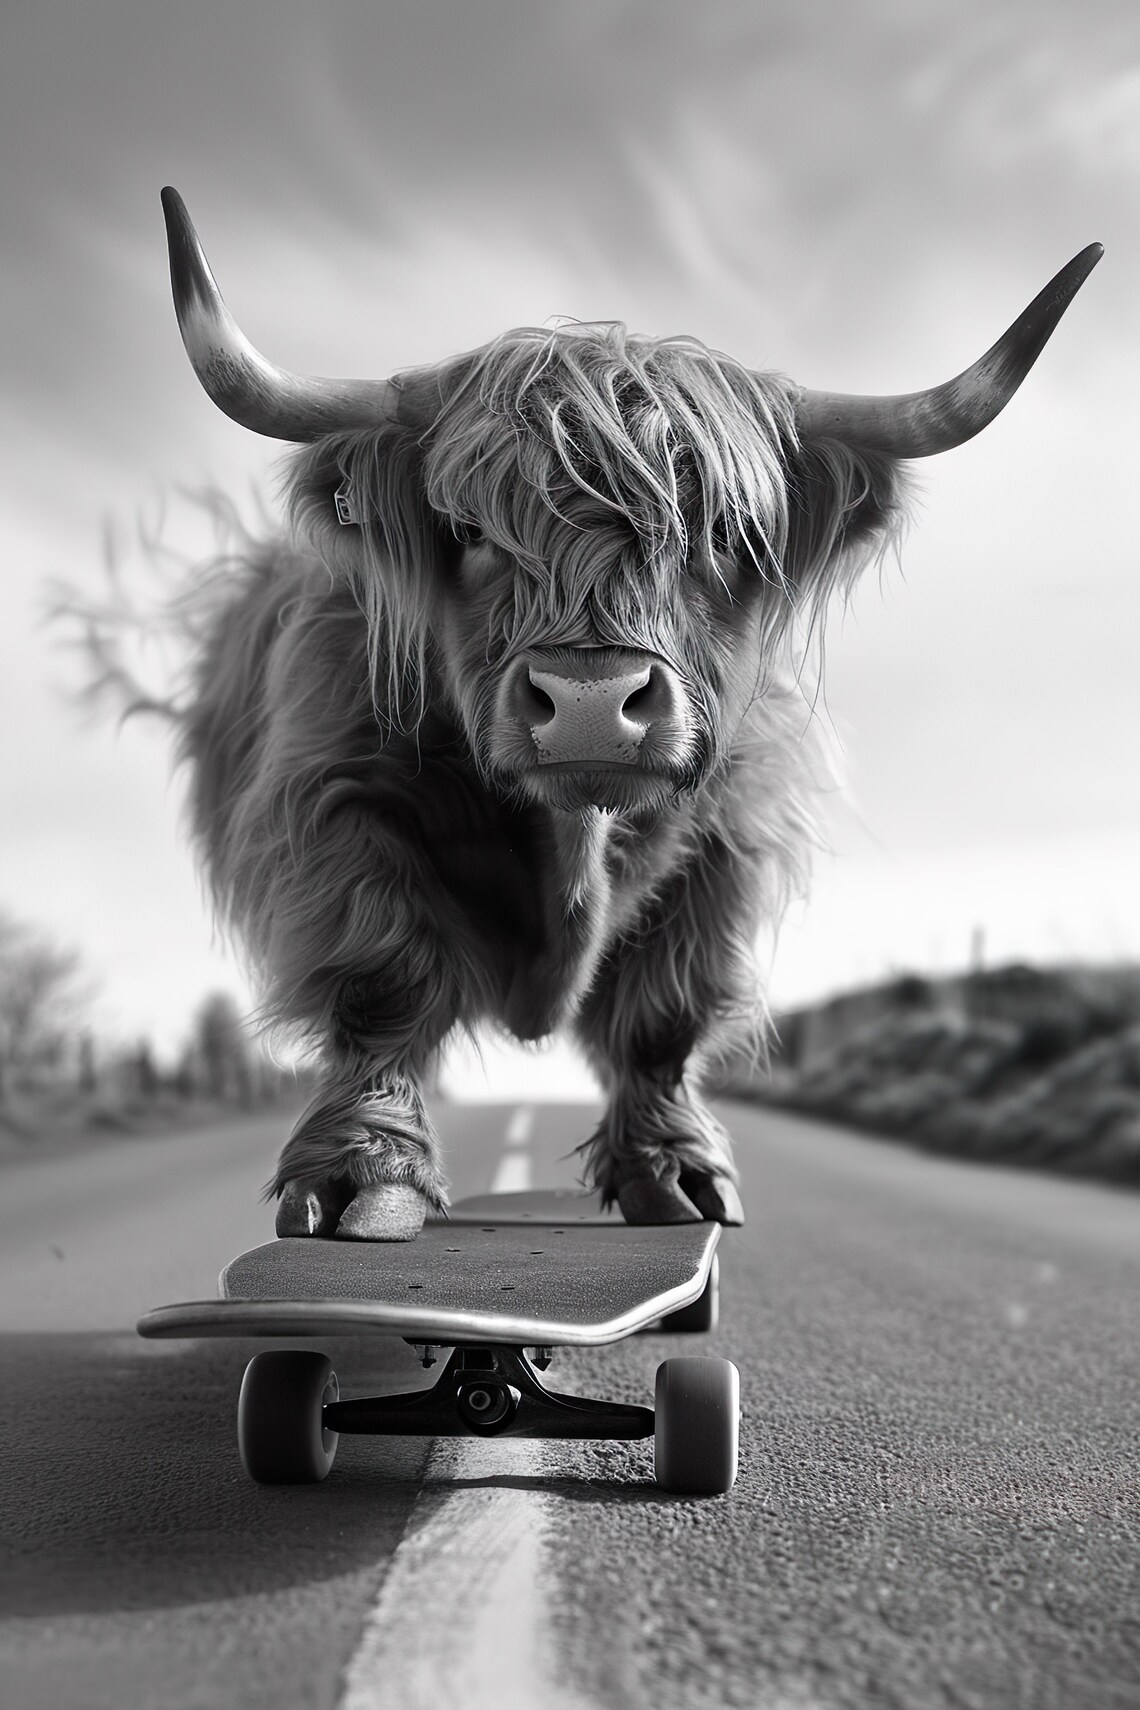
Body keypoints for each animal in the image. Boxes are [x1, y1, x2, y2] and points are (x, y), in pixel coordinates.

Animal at [158, 187, 1100, 1240]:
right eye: (471, 530)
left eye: (724, 533)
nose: (589, 704)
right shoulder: (339, 799)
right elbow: (383, 981)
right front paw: (371, 1174)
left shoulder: (731, 839)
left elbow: (663, 1016)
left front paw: (676, 1173)